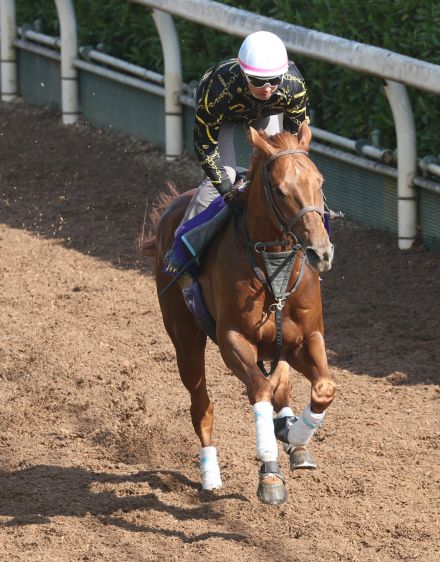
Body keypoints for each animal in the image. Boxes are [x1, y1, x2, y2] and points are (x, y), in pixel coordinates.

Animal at [150, 121, 336, 504]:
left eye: (319, 181)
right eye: (279, 190)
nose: (320, 253)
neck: (274, 264)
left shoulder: (307, 338)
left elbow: (322, 388)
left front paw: (295, 437)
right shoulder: (233, 340)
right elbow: (259, 390)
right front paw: (270, 473)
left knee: (281, 385)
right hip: (185, 340)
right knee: (202, 406)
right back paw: (210, 475)